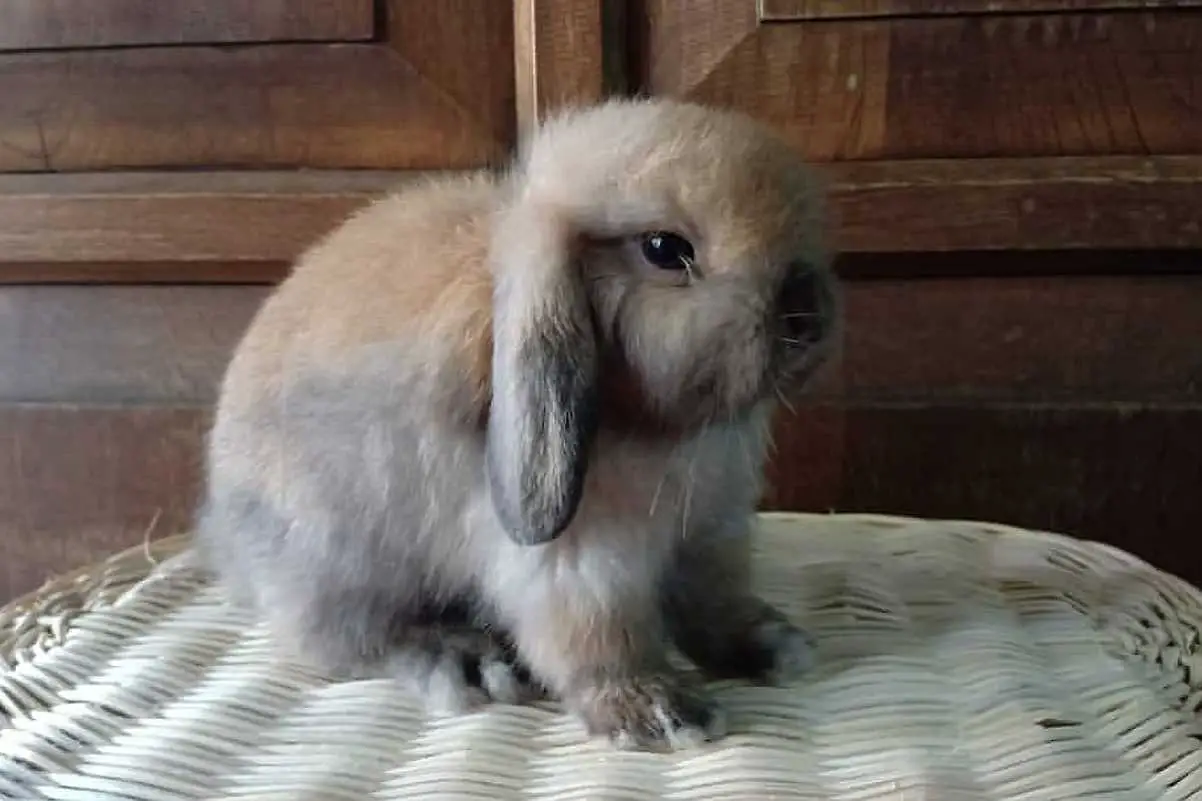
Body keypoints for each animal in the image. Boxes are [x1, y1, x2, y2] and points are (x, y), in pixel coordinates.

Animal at [192, 96, 841, 750]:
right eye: (664, 249)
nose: (807, 318)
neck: (657, 426)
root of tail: (225, 543)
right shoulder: (576, 559)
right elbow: (595, 635)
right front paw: (658, 711)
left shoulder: (711, 529)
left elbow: (715, 600)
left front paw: (770, 644)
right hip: (337, 561)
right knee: (349, 639)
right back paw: (465, 659)